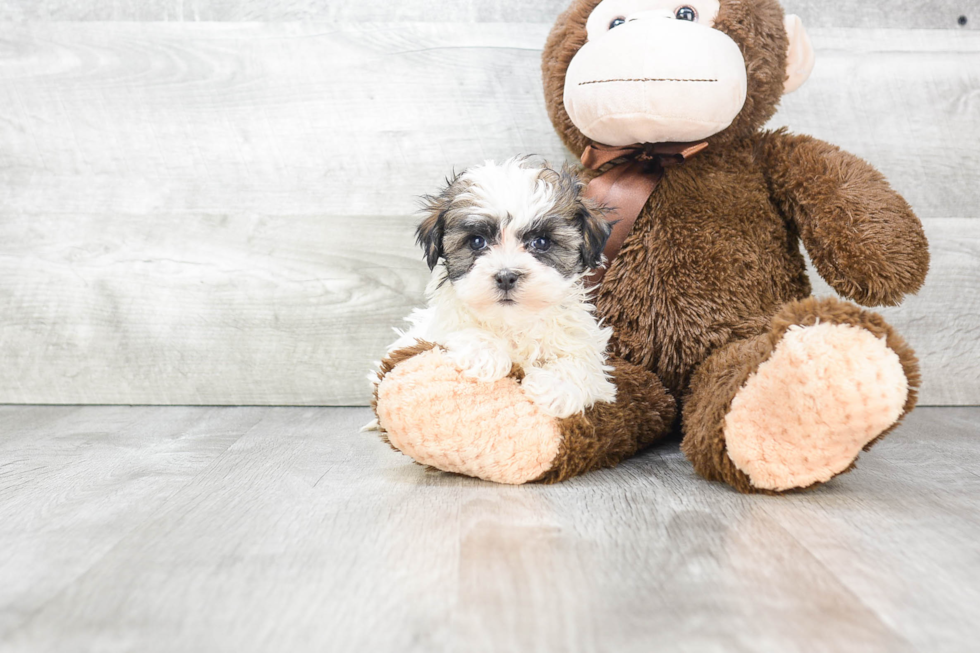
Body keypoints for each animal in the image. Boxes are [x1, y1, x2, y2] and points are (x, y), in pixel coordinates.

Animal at [380, 157, 612, 418]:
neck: (511, 322)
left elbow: (583, 361)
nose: (506, 277)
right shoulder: (433, 329)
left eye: (542, 242)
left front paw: (557, 388)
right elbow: (458, 328)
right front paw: (484, 354)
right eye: (477, 241)